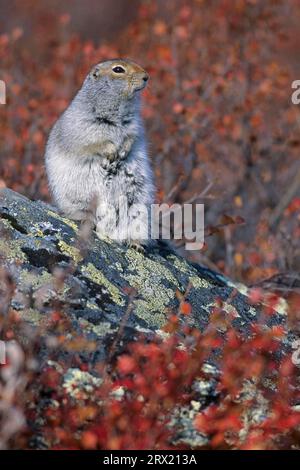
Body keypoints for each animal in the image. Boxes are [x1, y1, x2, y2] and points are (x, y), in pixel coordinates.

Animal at [46, 59, 157, 250]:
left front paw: (123, 151)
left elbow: (131, 138)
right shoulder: (86, 126)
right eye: (118, 69)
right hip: (79, 199)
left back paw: (135, 244)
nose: (146, 77)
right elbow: (96, 142)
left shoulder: (134, 126)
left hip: (138, 208)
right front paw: (112, 154)